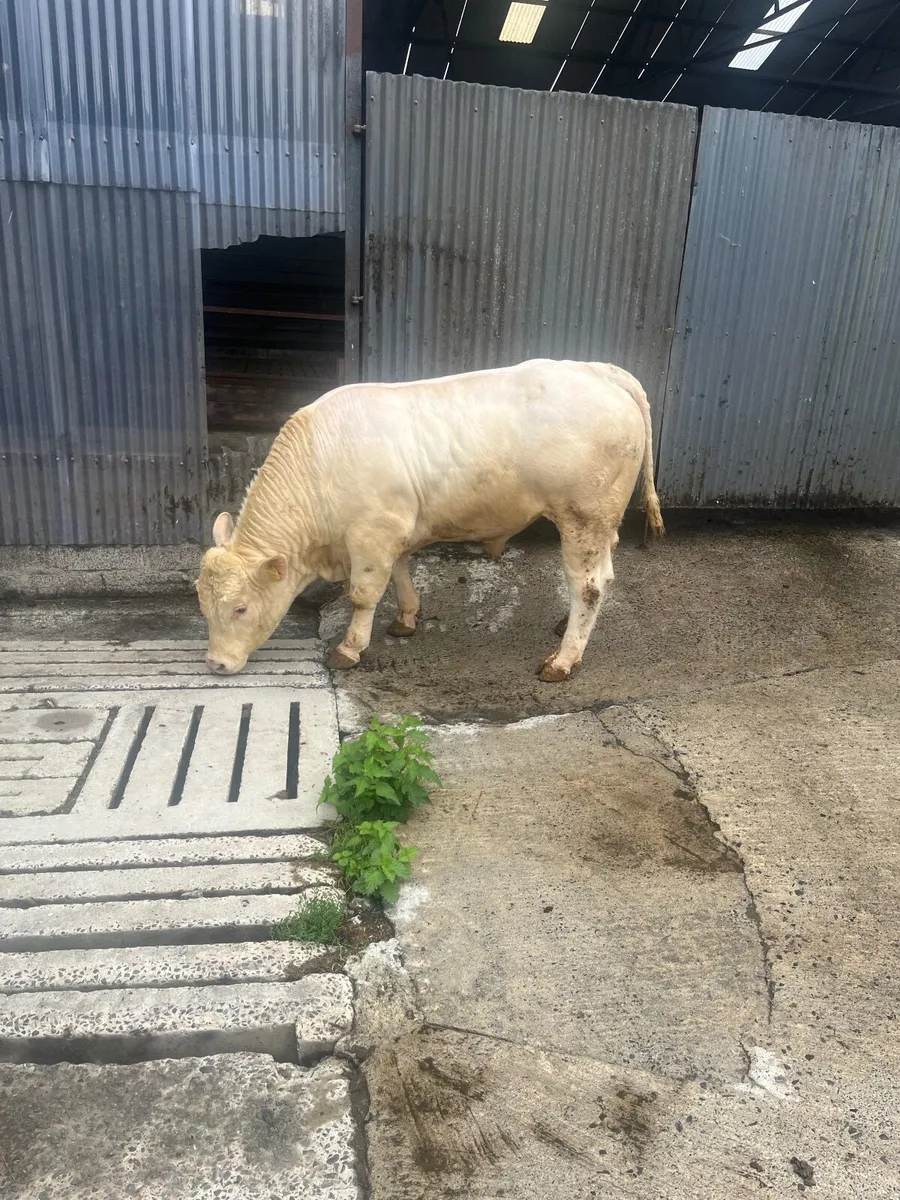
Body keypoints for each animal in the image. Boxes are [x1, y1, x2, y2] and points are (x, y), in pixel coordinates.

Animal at [196, 359, 663, 682]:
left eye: (240, 607)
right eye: (202, 604)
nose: (216, 664)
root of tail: (598, 370)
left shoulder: (370, 534)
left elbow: (362, 595)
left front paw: (350, 648)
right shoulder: (392, 532)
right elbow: (401, 574)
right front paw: (406, 618)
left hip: (582, 516)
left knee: (588, 585)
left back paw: (564, 660)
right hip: (601, 521)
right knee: (603, 572)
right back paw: (567, 627)